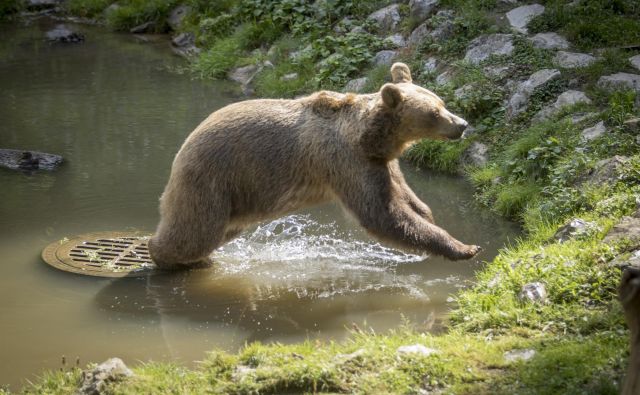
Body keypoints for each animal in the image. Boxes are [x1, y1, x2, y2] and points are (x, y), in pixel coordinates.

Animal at [149, 62, 480, 270]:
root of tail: (187, 142)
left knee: (217, 232)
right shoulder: (344, 161)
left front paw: (429, 217)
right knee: (196, 231)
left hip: (239, 198)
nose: (462, 124)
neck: (370, 138)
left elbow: (405, 196)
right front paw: (464, 247)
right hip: (213, 178)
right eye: (435, 112)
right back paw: (163, 255)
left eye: (441, 102)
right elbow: (382, 214)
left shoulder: (378, 162)